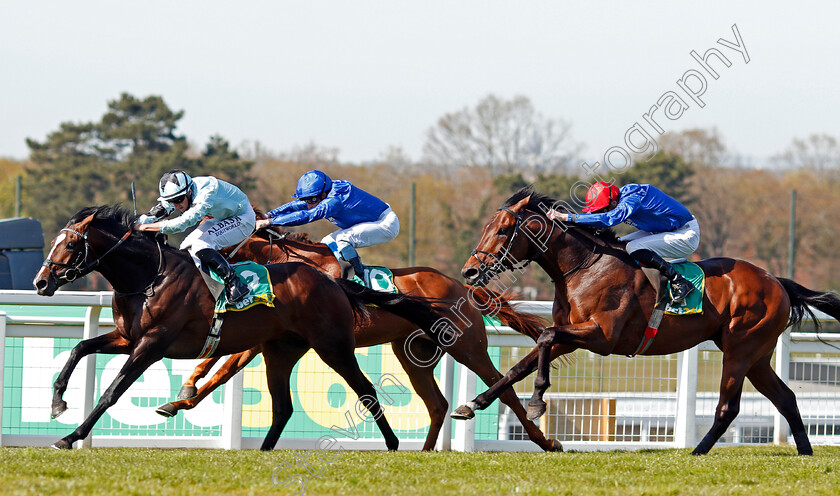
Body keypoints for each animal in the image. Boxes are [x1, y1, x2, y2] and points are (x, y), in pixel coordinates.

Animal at [32, 203, 450, 452]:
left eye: (70, 245)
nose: (40, 282)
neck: (150, 276)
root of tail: (332, 281)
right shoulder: (126, 337)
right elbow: (79, 349)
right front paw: (57, 402)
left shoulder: (151, 344)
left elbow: (112, 392)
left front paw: (70, 437)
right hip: (281, 351)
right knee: (283, 407)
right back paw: (263, 451)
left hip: (333, 347)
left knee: (366, 391)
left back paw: (394, 444)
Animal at [159, 215, 564, 452]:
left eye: (220, 243)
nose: (188, 257)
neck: (291, 268)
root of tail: (464, 288)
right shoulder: (266, 336)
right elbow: (216, 363)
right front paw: (181, 396)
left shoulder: (269, 338)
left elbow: (225, 366)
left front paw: (183, 397)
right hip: (413, 355)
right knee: (437, 403)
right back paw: (425, 452)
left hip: (468, 347)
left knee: (502, 386)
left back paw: (546, 442)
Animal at [456, 188, 840, 456]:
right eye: (487, 226)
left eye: (504, 230)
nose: (470, 271)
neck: (585, 266)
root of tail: (776, 281)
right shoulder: (573, 336)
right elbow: (520, 365)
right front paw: (473, 403)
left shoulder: (602, 337)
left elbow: (545, 337)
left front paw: (537, 401)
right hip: (757, 356)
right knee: (786, 397)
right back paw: (805, 452)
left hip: (740, 349)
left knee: (729, 407)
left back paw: (697, 452)